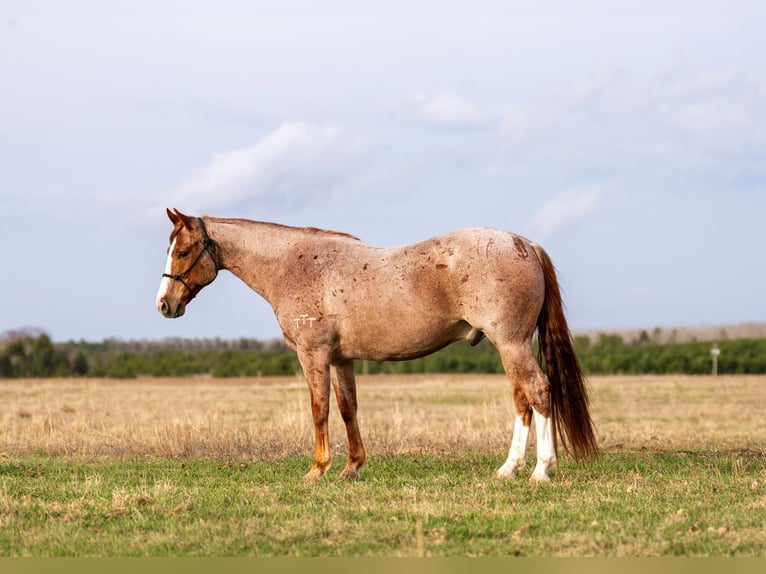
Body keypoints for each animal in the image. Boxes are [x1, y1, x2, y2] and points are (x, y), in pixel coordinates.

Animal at [156, 208, 597, 481]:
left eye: (183, 251)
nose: (164, 304)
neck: (293, 265)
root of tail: (524, 243)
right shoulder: (342, 359)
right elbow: (348, 408)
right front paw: (352, 467)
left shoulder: (314, 355)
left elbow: (319, 409)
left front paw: (317, 469)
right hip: (509, 348)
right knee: (522, 400)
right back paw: (508, 468)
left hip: (512, 344)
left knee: (538, 392)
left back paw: (541, 469)